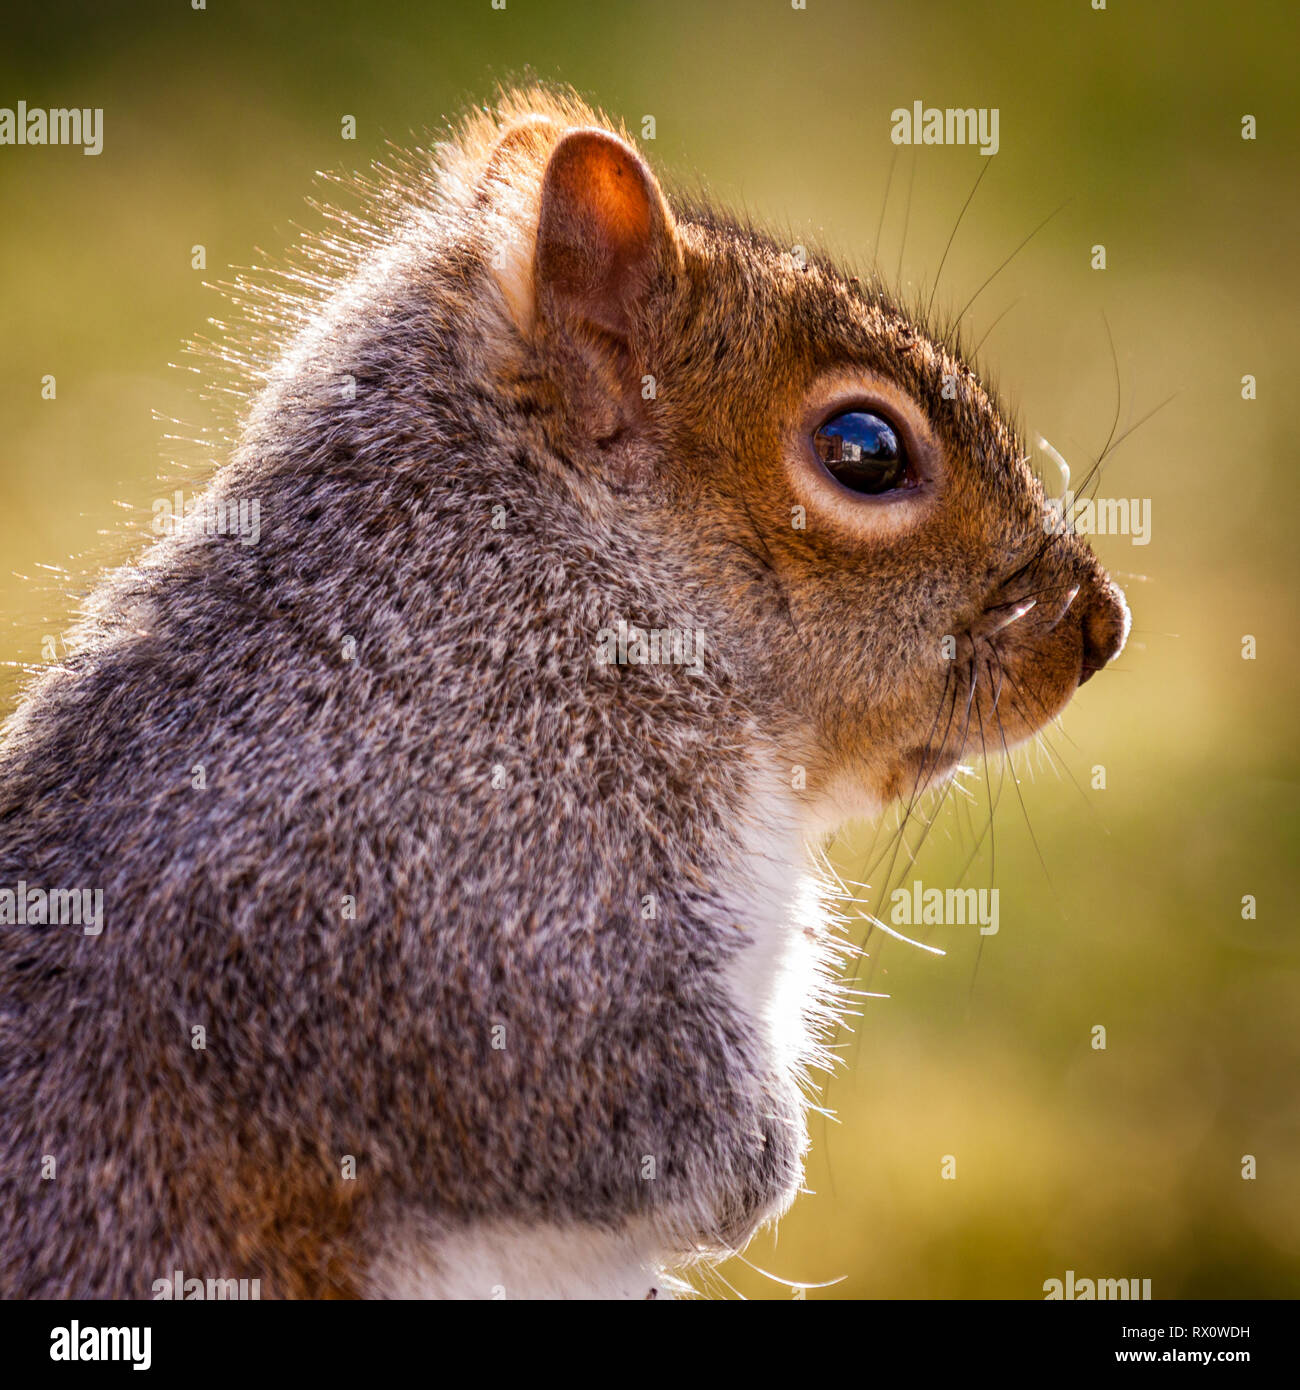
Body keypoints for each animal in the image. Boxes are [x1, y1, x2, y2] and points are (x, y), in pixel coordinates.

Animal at [0, 89, 1128, 1301]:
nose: (1100, 626)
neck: (555, 583)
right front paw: (756, 1170)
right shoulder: (440, 893)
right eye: (864, 449)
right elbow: (594, 1098)